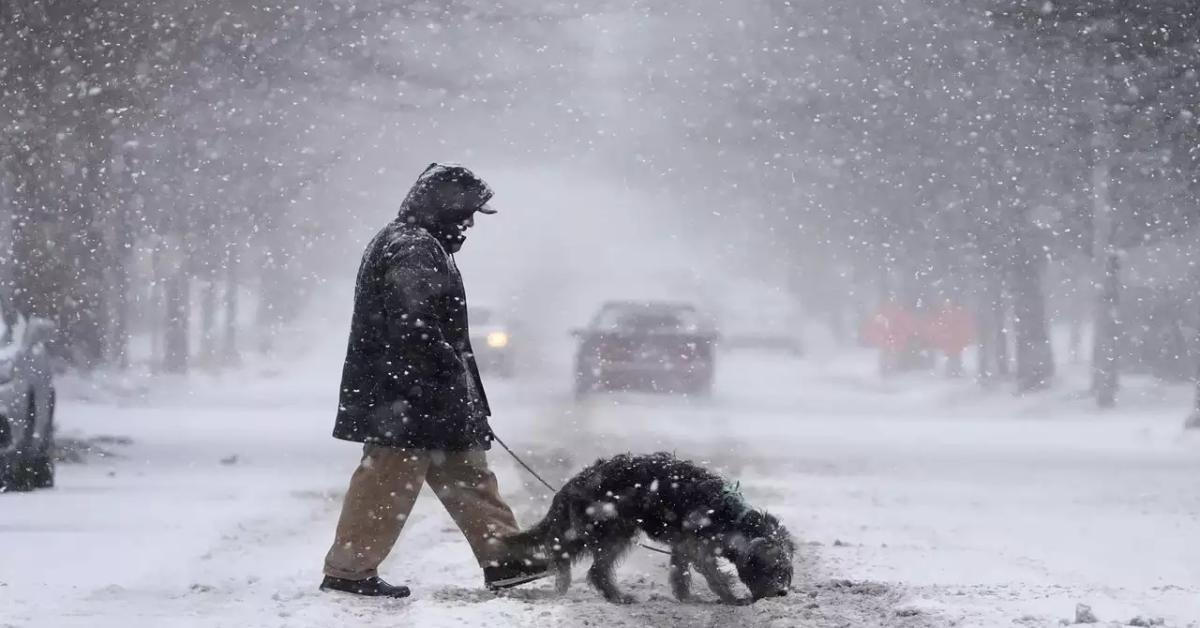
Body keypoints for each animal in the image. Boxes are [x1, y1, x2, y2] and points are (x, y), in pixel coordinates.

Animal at [504, 451, 796, 605]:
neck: (731, 517)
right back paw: (612, 595)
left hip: (596, 531)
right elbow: (715, 576)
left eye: (786, 571)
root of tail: (572, 484)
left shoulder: (683, 545)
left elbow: (680, 573)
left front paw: (685, 598)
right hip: (609, 530)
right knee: (588, 567)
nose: (781, 592)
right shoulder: (698, 545)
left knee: (572, 558)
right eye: (771, 568)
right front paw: (732, 599)